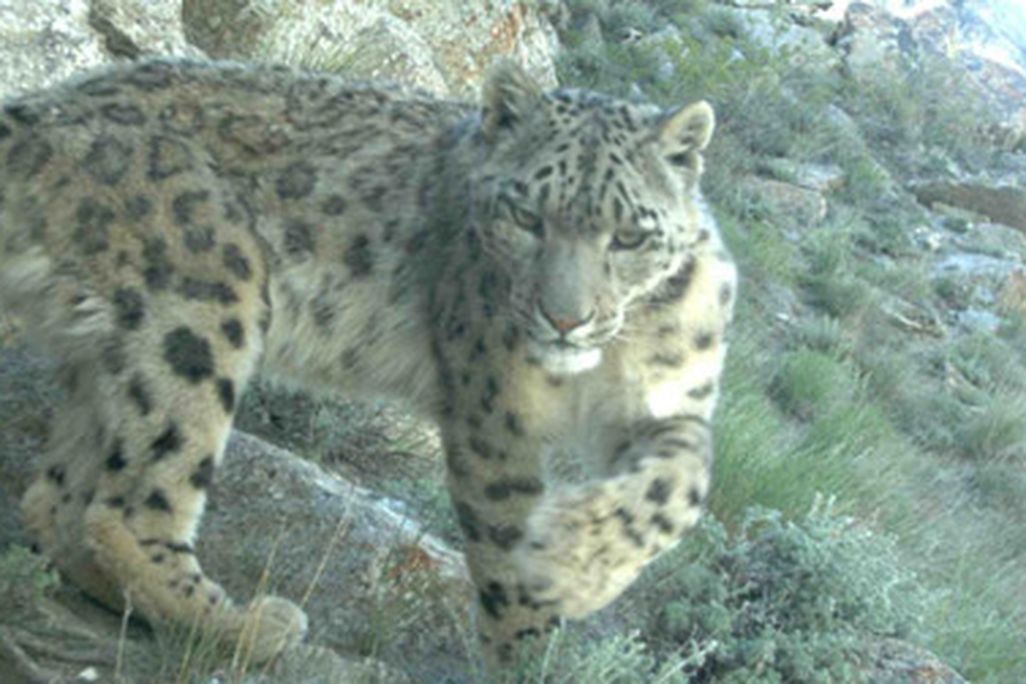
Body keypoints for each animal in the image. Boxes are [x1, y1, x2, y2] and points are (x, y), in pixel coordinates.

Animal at [0, 57, 737, 667]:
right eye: (526, 214)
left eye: (631, 235)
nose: (565, 318)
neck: (615, 354)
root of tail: (43, 106)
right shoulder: (497, 414)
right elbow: (507, 540)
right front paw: (539, 625)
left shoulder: (670, 399)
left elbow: (684, 483)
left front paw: (583, 558)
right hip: (205, 301)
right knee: (124, 508)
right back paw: (247, 628)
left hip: (109, 352)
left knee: (56, 501)